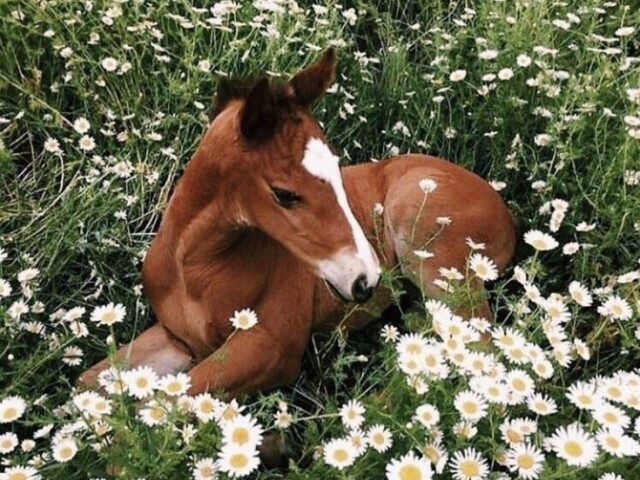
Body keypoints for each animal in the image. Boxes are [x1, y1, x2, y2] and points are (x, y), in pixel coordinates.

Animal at [80, 49, 516, 398]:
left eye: (338, 171)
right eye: (285, 194)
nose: (366, 279)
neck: (193, 271)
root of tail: (507, 215)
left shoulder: (271, 348)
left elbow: (168, 403)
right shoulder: (177, 339)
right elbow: (86, 386)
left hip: (429, 248)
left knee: (479, 352)